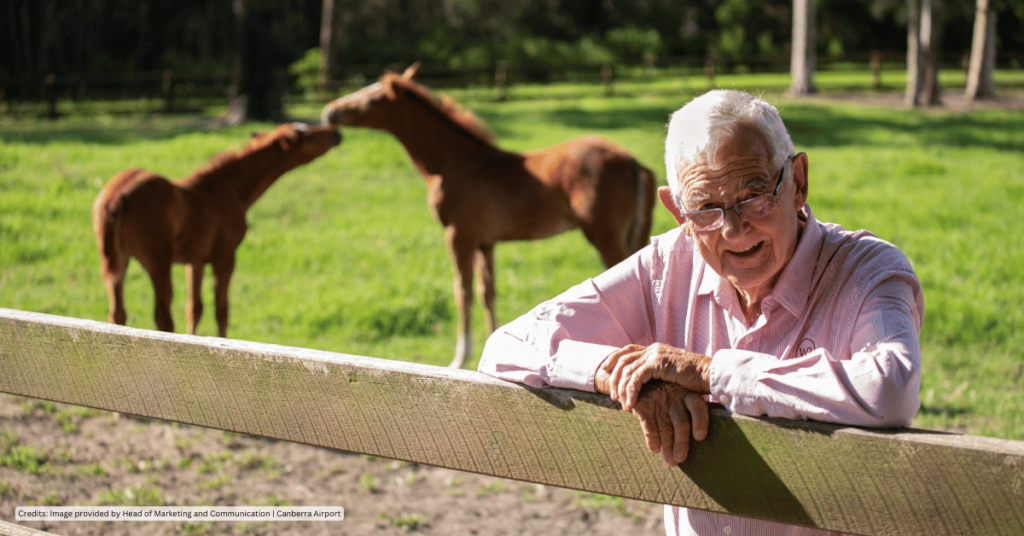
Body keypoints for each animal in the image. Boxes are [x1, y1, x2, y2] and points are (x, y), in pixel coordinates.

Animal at [319, 63, 655, 368]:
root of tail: (634, 163)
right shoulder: (486, 242)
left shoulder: (459, 235)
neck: (454, 163)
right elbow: (487, 292)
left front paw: (460, 358)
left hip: (605, 237)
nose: (329, 111)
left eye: (371, 99)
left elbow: (463, 292)